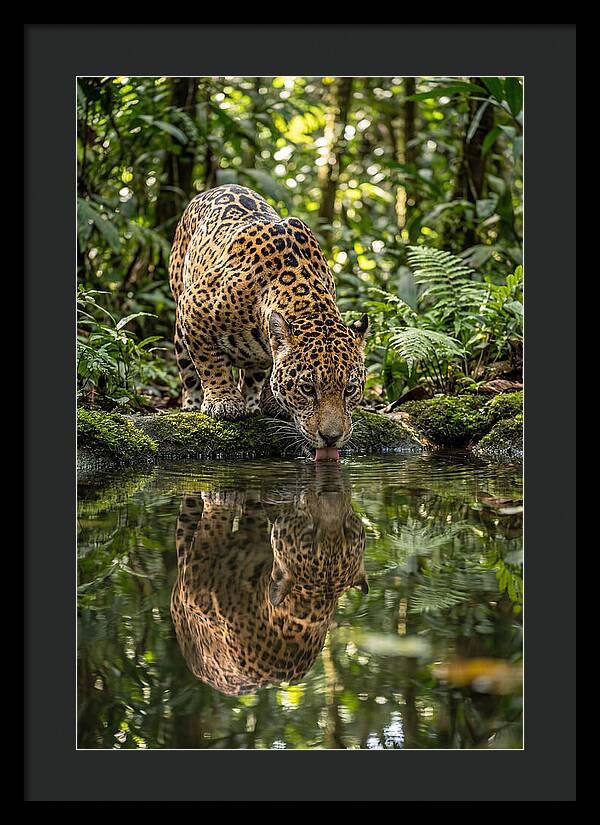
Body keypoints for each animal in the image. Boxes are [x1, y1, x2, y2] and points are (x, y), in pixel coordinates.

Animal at [168, 184, 369, 459]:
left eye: (349, 390)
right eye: (308, 389)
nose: (331, 438)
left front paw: (272, 402)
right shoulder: (192, 306)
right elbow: (210, 363)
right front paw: (224, 402)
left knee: (252, 373)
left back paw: (253, 402)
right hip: (180, 317)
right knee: (187, 369)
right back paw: (192, 403)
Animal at [169, 467, 368, 696]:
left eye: (348, 531)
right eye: (309, 535)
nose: (331, 492)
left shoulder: (195, 580)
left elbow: (215, 523)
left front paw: (222, 497)